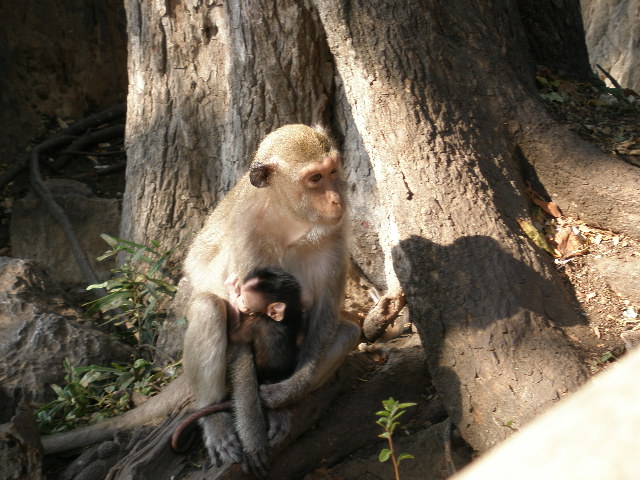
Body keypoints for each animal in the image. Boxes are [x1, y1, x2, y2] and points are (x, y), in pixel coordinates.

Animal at [40, 125, 361, 473]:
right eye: (315, 178)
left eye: (332, 171)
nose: (336, 197)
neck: (291, 223)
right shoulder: (248, 238)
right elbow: (240, 334)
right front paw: (252, 436)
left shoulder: (336, 234)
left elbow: (325, 317)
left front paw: (283, 398)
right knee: (209, 309)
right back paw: (216, 421)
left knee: (347, 331)